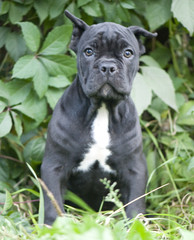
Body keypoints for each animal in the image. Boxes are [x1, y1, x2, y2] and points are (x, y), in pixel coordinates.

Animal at [41, 10, 158, 225]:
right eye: (89, 52)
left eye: (128, 53)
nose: (108, 66)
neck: (103, 109)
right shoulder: (55, 166)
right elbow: (53, 202)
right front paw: (53, 226)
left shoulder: (134, 169)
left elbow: (135, 202)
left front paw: (135, 224)